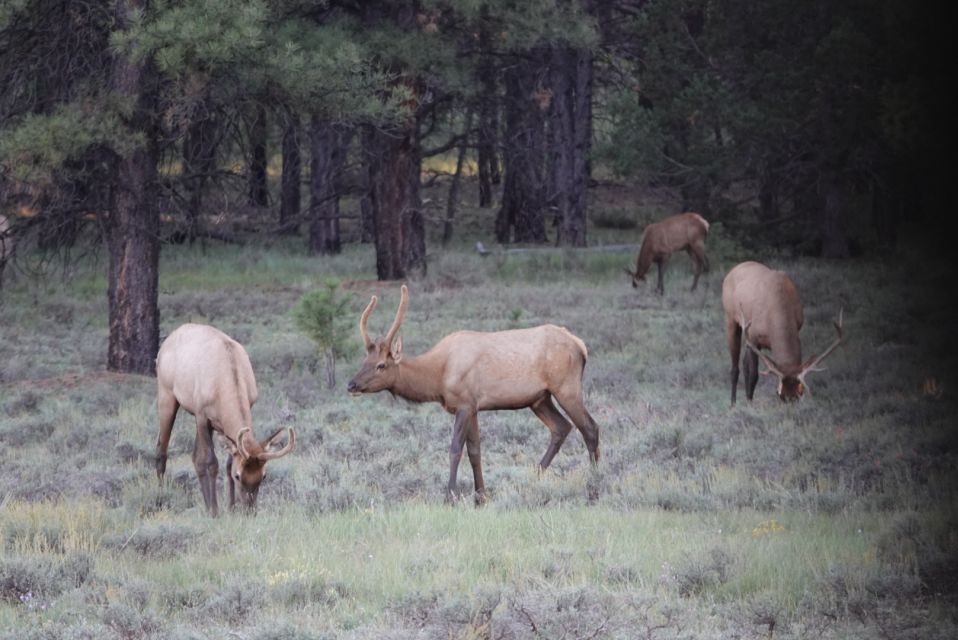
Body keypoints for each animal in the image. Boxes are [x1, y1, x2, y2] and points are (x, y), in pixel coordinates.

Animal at [154, 324, 294, 516]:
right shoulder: (202, 415)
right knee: (162, 450)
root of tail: (166, 341)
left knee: (194, 456)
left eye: (263, 475)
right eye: (238, 476)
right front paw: (215, 510)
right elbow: (211, 462)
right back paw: (161, 499)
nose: (249, 509)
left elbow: (226, 463)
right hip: (166, 395)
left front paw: (231, 507)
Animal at [344, 286, 600, 504]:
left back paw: (594, 489)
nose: (351, 384)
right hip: (540, 399)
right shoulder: (473, 407)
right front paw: (481, 498)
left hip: (567, 388)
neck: (438, 376)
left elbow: (455, 449)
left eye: (381, 365)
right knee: (561, 427)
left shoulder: (465, 404)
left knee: (590, 428)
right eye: (365, 360)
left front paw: (450, 497)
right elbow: (475, 451)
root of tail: (581, 346)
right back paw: (532, 480)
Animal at [724, 262, 844, 404]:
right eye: (780, 394)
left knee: (743, 362)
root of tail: (734, 268)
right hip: (730, 318)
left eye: (800, 393)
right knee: (735, 367)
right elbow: (753, 374)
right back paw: (733, 404)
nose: (790, 401)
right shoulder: (752, 336)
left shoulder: (798, 325)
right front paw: (749, 402)